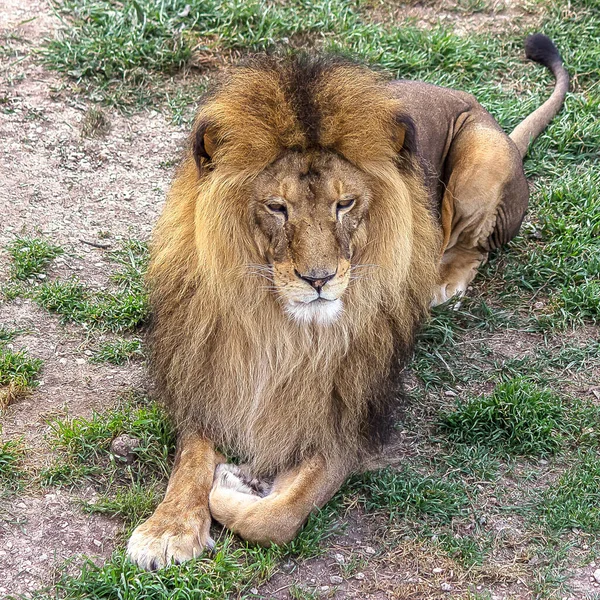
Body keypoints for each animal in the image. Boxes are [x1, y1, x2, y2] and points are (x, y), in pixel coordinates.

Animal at [125, 34, 568, 572]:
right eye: (277, 207)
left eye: (345, 204)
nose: (318, 280)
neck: (279, 328)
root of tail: (493, 119)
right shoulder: (207, 375)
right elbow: (190, 463)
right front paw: (167, 529)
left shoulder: (348, 418)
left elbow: (277, 517)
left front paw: (234, 483)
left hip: (481, 159)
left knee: (475, 245)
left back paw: (440, 282)